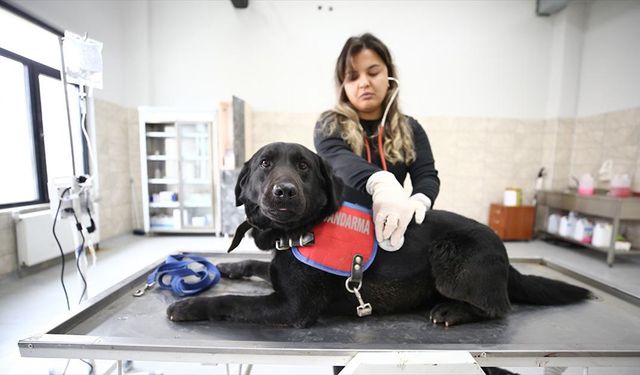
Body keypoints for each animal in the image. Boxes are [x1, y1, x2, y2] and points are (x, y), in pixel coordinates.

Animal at [166, 142, 592, 328]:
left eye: (303, 167)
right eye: (265, 165)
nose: (284, 191)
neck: (298, 233)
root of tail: (504, 254)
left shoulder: (291, 309)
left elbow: (233, 302)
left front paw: (190, 307)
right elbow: (256, 266)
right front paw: (232, 268)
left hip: (451, 257)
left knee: (499, 307)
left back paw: (452, 311)